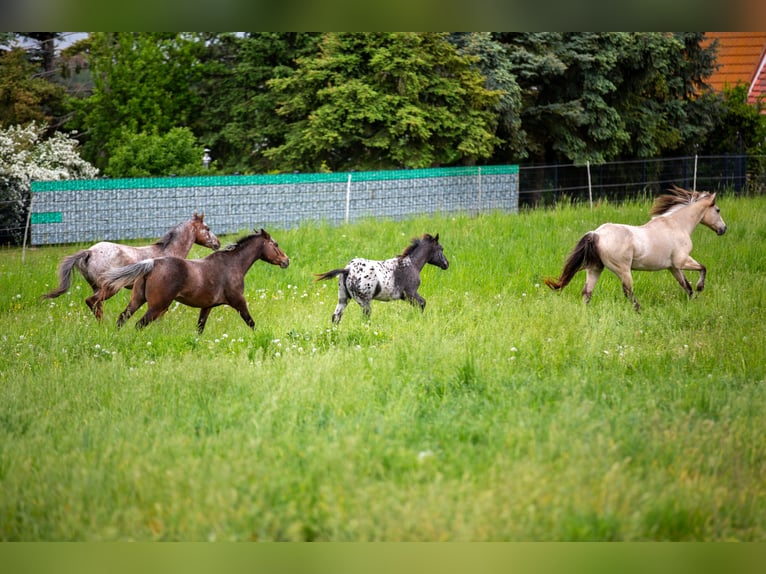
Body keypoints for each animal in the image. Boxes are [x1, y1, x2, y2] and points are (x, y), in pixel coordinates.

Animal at [42, 212, 220, 319]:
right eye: (207, 228)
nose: (217, 243)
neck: (168, 251)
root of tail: (89, 252)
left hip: (97, 287)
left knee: (97, 305)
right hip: (110, 288)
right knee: (92, 302)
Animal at [98, 229, 289, 333]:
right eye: (276, 244)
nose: (286, 261)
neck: (232, 264)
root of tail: (151, 264)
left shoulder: (207, 307)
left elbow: (200, 328)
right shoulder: (238, 301)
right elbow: (251, 322)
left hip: (137, 300)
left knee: (122, 318)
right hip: (157, 306)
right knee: (139, 324)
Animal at [315, 233, 449, 323]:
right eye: (441, 249)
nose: (446, 264)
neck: (411, 264)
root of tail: (347, 269)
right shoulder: (410, 293)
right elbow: (422, 303)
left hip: (343, 298)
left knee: (336, 317)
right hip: (364, 301)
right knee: (365, 317)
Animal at [544, 186, 727, 311]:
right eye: (718, 210)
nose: (723, 229)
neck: (677, 225)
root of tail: (597, 233)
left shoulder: (673, 267)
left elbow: (686, 286)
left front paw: (694, 302)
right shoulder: (681, 261)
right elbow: (703, 268)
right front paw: (700, 288)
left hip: (595, 269)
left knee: (587, 293)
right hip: (623, 270)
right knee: (628, 293)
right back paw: (640, 311)